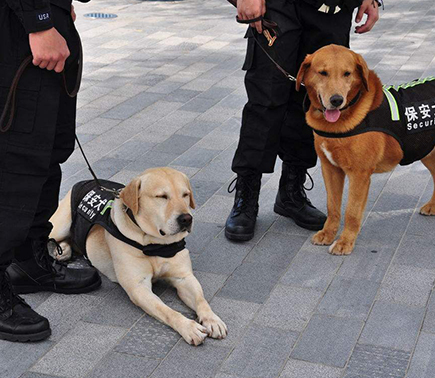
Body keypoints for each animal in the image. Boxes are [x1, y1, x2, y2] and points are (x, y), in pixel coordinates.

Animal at [49, 168, 228, 346]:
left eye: (185, 194)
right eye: (162, 196)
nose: (186, 219)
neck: (155, 244)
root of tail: (86, 180)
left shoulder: (184, 277)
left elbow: (201, 300)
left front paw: (212, 319)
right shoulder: (138, 288)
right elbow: (167, 311)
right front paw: (188, 326)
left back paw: (64, 249)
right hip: (59, 226)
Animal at [296, 45, 435, 256]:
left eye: (347, 73)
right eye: (322, 73)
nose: (336, 100)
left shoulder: (359, 175)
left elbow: (352, 212)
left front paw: (345, 242)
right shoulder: (330, 169)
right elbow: (333, 207)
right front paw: (328, 234)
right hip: (427, 151)